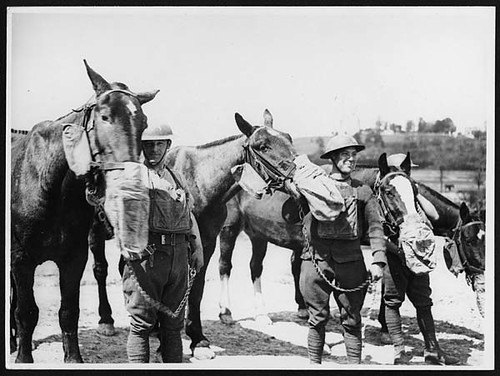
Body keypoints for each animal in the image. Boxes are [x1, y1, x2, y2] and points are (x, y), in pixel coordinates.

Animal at [9, 60, 158, 362]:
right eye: (104, 117)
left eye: (144, 122)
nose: (129, 180)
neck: (47, 183)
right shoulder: (21, 259)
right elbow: (27, 312)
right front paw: (22, 356)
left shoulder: (73, 259)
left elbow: (68, 312)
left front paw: (73, 357)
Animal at [218, 153, 484, 324]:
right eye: (469, 241)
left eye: (414, 190)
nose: (482, 276)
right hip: (230, 229)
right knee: (225, 266)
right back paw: (226, 313)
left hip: (258, 234)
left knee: (256, 268)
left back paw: (267, 313)